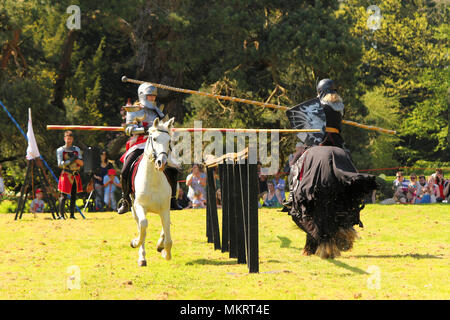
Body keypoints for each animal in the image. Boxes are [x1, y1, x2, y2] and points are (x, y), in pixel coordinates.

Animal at [129, 116, 175, 266]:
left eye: (169, 141)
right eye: (154, 139)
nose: (162, 163)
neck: (153, 180)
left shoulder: (165, 208)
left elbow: (168, 237)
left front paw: (166, 253)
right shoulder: (139, 206)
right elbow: (143, 225)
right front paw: (135, 243)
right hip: (133, 208)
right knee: (140, 225)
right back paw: (142, 256)